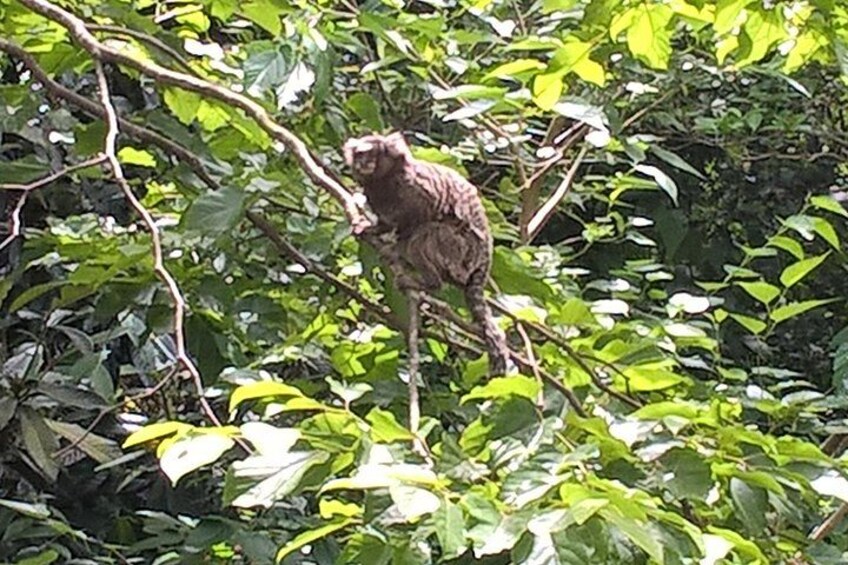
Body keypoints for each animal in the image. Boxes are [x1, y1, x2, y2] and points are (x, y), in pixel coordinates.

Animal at [343, 132, 510, 433]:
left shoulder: (417, 190)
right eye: (359, 155)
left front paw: (393, 240)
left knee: (426, 234)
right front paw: (372, 228)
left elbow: (418, 218)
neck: (385, 182)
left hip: (459, 252)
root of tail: (482, 266)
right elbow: (386, 220)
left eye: (371, 154)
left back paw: (426, 280)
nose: (363, 164)